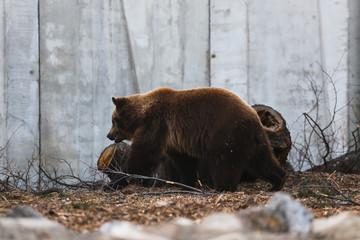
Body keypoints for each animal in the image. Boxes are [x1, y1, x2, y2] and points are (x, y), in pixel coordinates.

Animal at [105, 86, 286, 191]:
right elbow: (184, 161)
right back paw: (277, 181)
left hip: (227, 133)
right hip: (254, 140)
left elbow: (143, 155)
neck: (142, 115)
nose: (109, 135)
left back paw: (223, 187)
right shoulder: (174, 139)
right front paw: (187, 183)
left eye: (113, 120)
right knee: (262, 160)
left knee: (224, 162)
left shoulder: (156, 124)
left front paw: (114, 183)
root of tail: (254, 118)